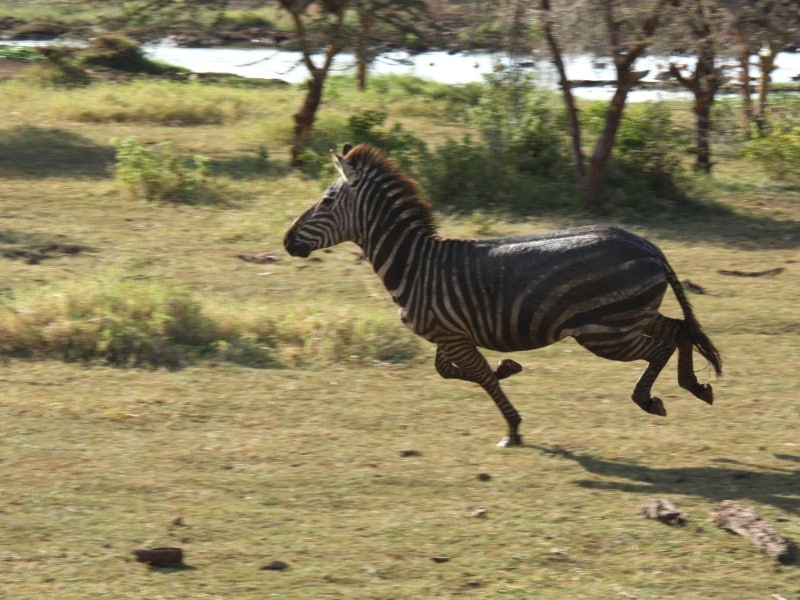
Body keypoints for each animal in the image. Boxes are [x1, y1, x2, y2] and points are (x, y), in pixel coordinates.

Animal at [284, 143, 722, 447]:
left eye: (326, 201)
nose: (287, 242)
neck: (415, 265)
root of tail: (647, 246)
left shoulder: (454, 336)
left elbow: (477, 376)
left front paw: (512, 427)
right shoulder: (449, 335)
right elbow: (450, 372)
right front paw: (508, 368)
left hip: (604, 331)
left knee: (659, 347)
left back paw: (649, 399)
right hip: (630, 316)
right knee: (679, 330)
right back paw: (695, 386)